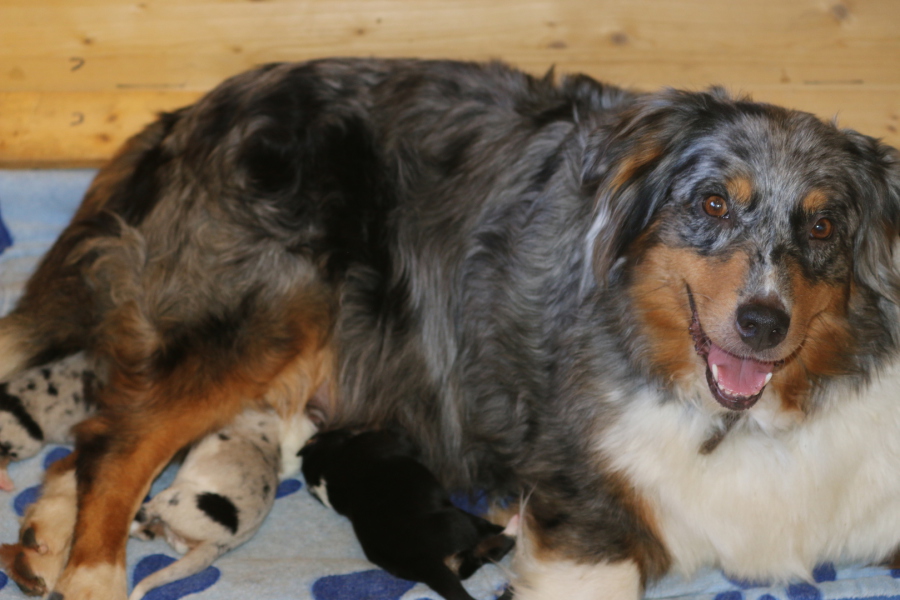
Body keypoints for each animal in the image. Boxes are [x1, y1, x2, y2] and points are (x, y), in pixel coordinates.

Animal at [300, 428, 515, 600]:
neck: (326, 468)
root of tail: (424, 561)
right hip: (463, 520)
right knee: (497, 542)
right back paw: (514, 527)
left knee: (478, 557)